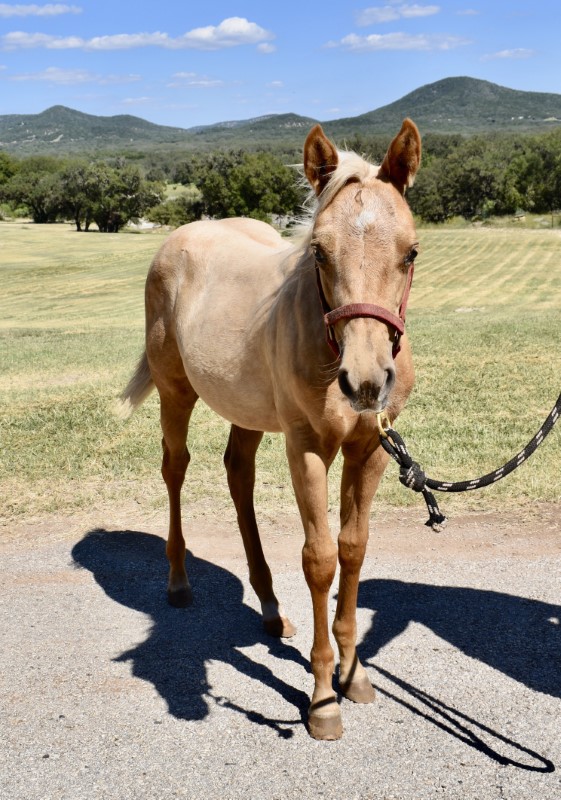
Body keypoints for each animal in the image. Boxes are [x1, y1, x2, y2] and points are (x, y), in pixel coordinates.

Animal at [121, 119, 420, 736]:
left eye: (410, 252)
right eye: (319, 252)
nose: (364, 382)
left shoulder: (371, 449)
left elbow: (353, 548)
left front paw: (354, 673)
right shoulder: (307, 448)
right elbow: (319, 558)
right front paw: (323, 696)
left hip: (248, 413)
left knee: (238, 475)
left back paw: (269, 607)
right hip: (175, 393)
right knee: (175, 470)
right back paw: (179, 581)